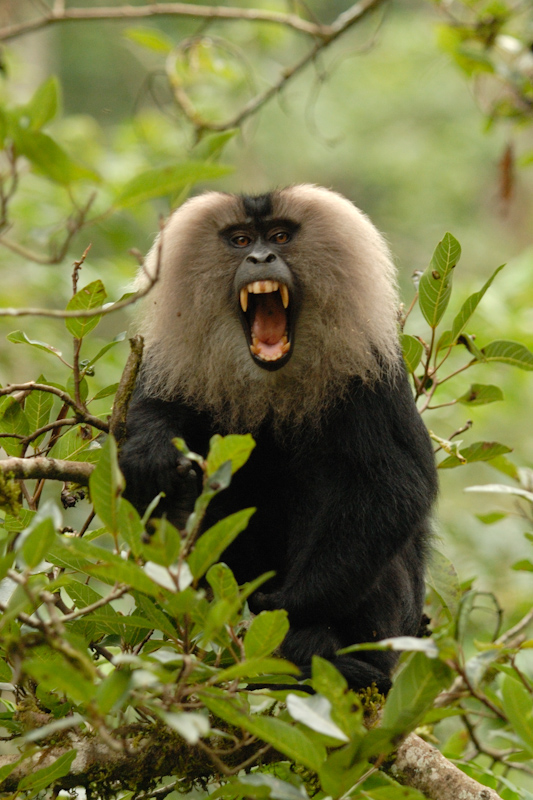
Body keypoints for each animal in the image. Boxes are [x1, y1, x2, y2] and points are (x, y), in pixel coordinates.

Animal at [119, 186, 436, 692]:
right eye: (241, 240)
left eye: (281, 237)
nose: (260, 257)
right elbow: (154, 414)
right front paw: (150, 454)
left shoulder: (372, 369)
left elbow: (393, 486)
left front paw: (287, 606)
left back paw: (326, 655)